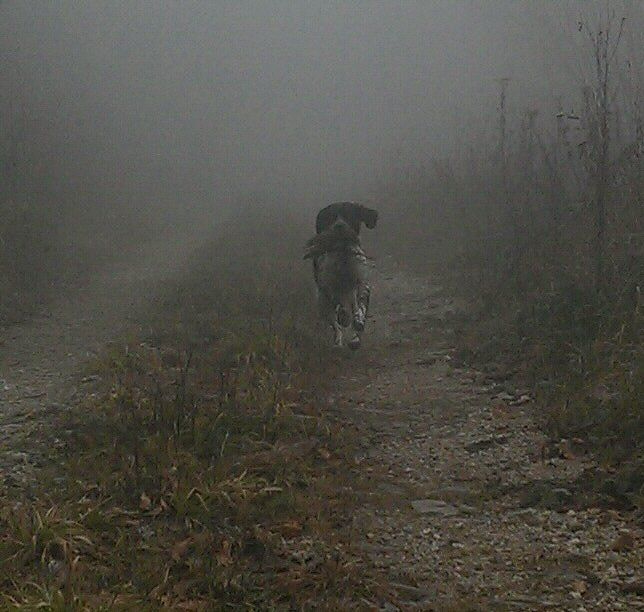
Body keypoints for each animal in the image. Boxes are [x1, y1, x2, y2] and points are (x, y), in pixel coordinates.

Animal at [304, 203, 374, 350]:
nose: (339, 226)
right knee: (336, 325)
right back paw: (338, 342)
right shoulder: (328, 288)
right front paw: (345, 316)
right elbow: (339, 305)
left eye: (349, 215)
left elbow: (360, 305)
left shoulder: (361, 283)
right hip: (322, 302)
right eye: (331, 217)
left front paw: (358, 322)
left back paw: (354, 337)